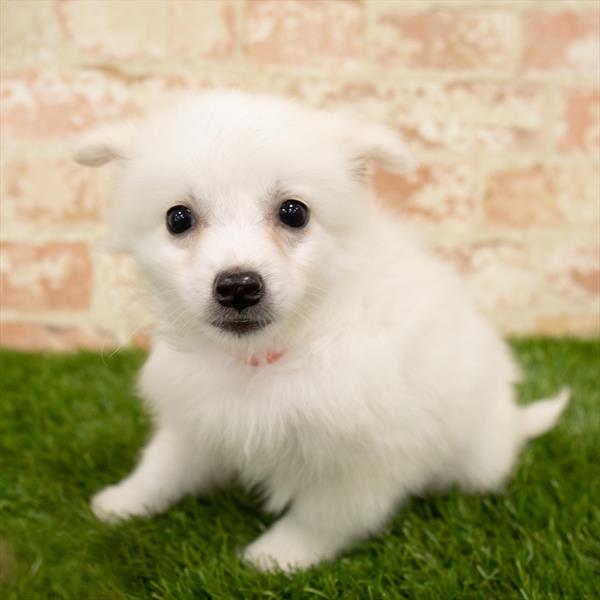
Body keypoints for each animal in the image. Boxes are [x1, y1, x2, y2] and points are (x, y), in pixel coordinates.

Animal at [77, 90, 568, 572]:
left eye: (294, 213)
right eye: (177, 218)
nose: (238, 286)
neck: (273, 352)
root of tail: (510, 419)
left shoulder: (358, 459)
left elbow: (321, 517)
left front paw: (277, 556)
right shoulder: (195, 417)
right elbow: (165, 463)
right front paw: (124, 500)